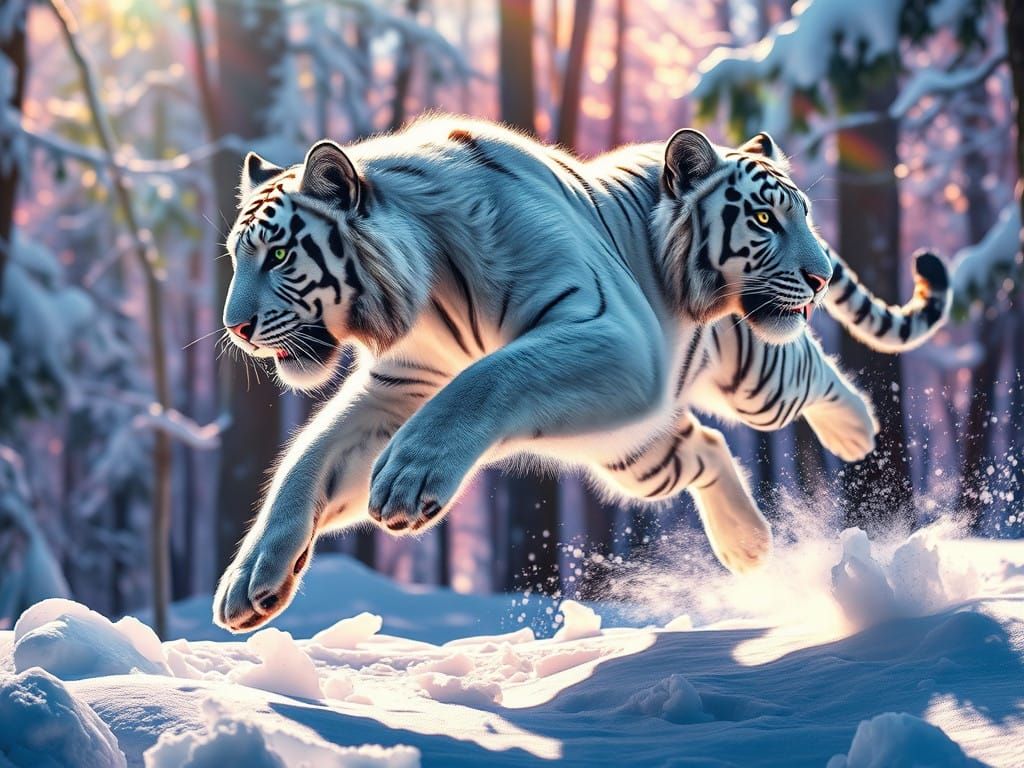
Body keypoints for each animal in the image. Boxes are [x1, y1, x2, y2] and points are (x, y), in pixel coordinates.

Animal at [213, 116, 949, 632]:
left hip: (750, 374)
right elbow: (307, 461)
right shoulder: (397, 388)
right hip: (632, 449)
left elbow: (489, 376)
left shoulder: (611, 333)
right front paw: (249, 583)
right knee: (705, 446)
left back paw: (857, 431)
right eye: (242, 256)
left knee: (807, 374)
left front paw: (408, 480)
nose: (236, 327)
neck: (422, 295)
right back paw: (746, 546)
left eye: (280, 254)